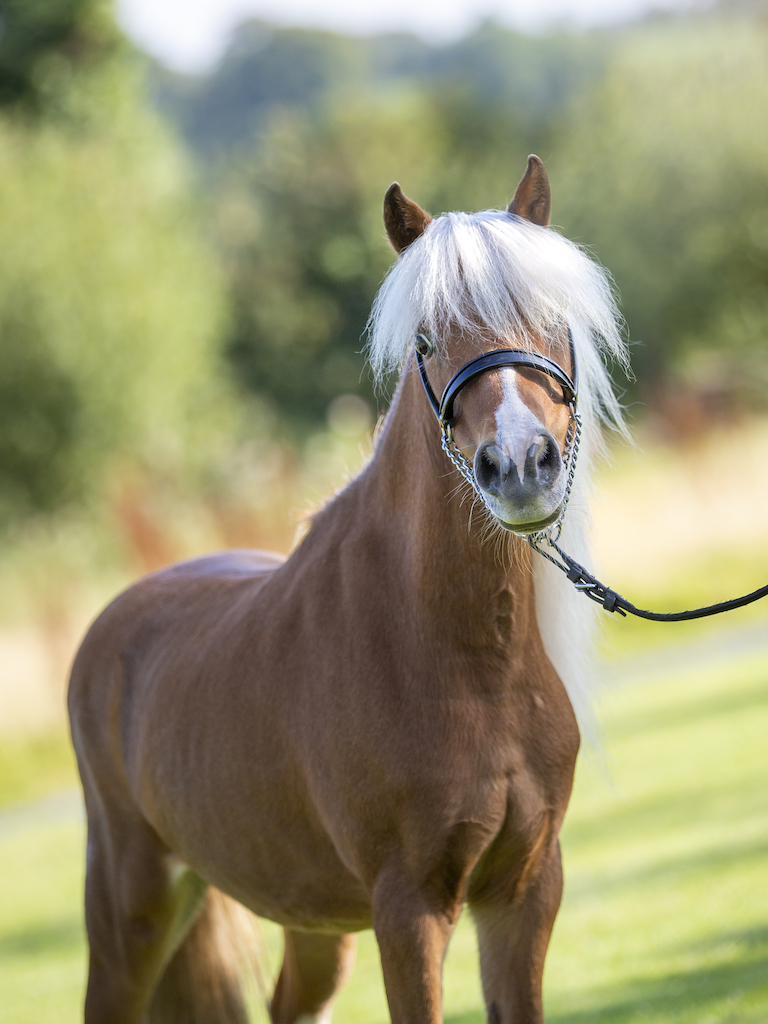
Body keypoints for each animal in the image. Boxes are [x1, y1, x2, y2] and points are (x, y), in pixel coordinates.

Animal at [68, 154, 628, 1024]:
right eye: (427, 340)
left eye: (549, 317)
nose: (520, 466)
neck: (460, 659)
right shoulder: (409, 907)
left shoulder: (525, 892)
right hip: (132, 913)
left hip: (307, 918)